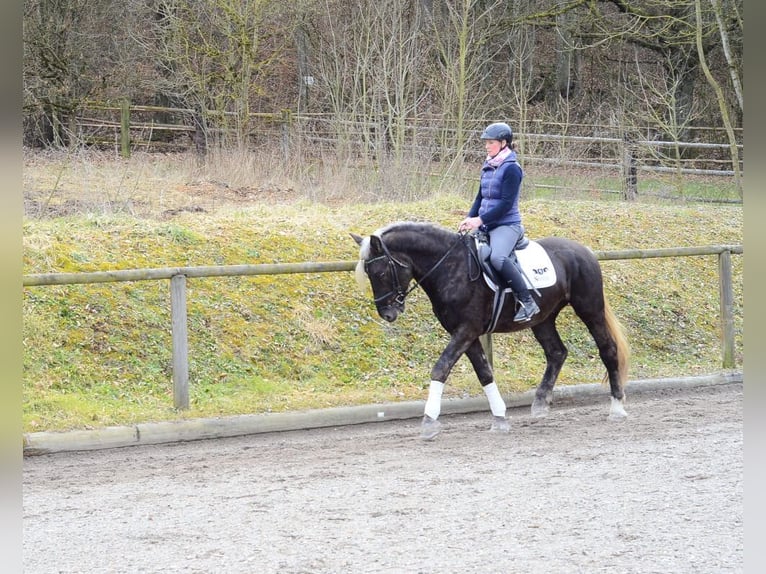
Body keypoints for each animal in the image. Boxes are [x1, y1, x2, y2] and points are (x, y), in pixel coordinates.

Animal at [352, 220, 632, 440]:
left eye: (380, 272)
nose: (387, 314)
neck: (450, 267)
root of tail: (584, 250)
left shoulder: (466, 330)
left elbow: (440, 368)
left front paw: (429, 422)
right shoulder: (466, 333)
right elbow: (484, 373)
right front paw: (499, 418)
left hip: (590, 309)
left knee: (608, 349)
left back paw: (617, 407)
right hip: (543, 319)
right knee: (557, 352)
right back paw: (541, 403)